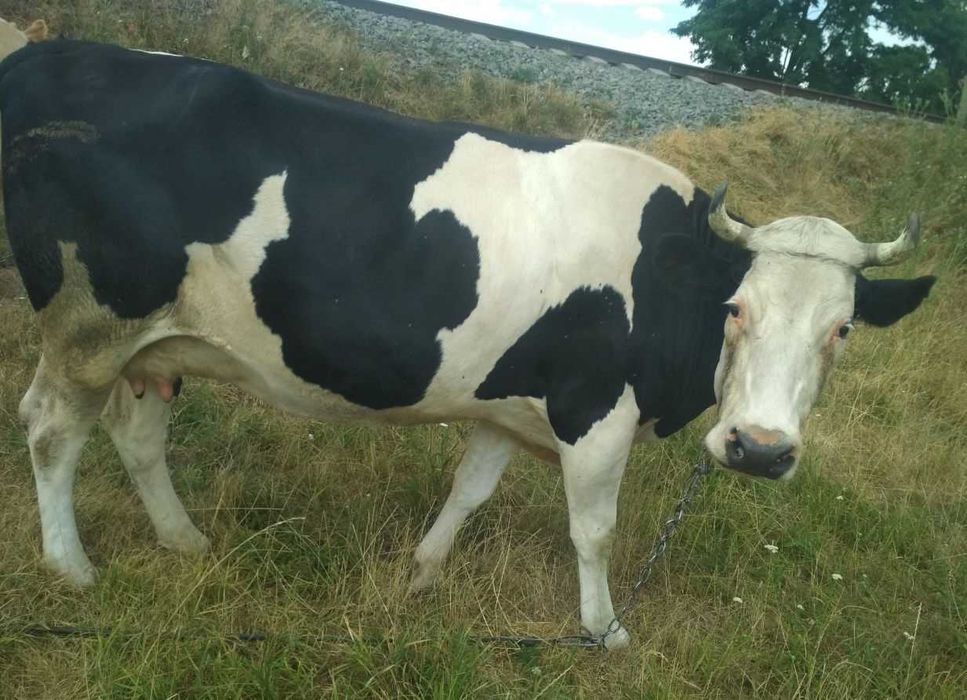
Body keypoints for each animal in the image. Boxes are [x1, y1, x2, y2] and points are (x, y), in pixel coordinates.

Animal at [0, 39, 935, 647]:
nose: (759, 448)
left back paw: (183, 541)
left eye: (841, 328)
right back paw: (70, 567)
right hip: (88, 324)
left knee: (136, 435)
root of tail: (54, 51)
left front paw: (423, 573)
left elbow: (470, 491)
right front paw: (604, 630)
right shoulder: (594, 412)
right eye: (736, 308)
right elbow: (594, 531)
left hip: (151, 345)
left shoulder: (504, 402)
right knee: (50, 428)